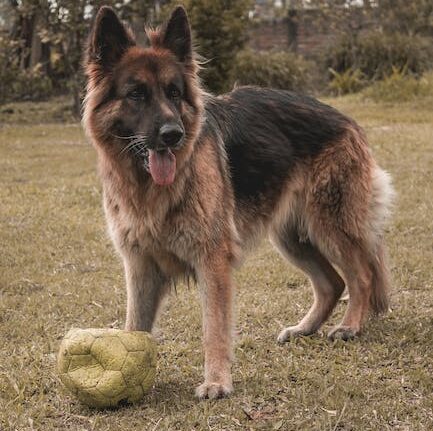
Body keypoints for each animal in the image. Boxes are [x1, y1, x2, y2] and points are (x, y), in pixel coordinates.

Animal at [82, 5, 394, 400]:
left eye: (174, 93)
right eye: (136, 94)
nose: (173, 135)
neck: (150, 188)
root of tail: (346, 119)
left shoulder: (212, 260)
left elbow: (214, 327)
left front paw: (216, 381)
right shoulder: (140, 266)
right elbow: (135, 326)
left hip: (330, 225)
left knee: (361, 275)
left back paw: (350, 326)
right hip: (292, 238)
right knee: (332, 284)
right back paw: (304, 328)